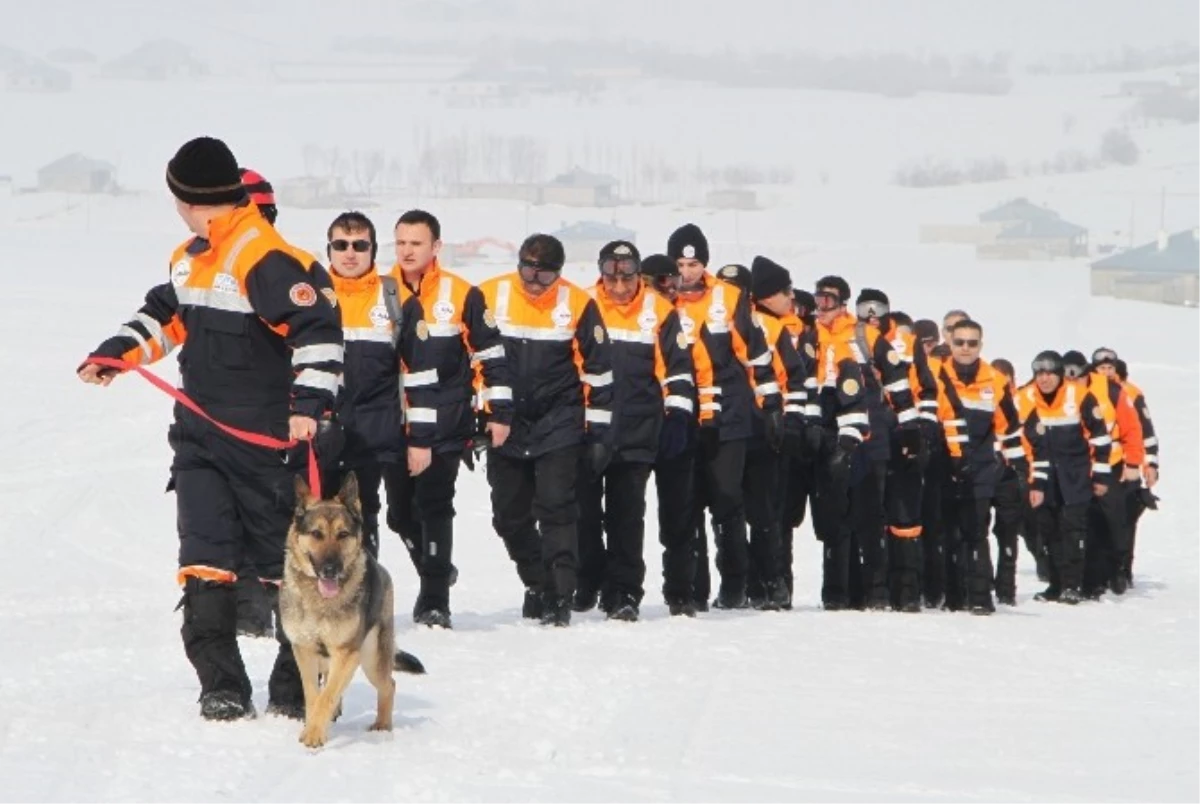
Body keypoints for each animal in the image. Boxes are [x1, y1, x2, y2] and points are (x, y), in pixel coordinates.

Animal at [280, 472, 427, 748]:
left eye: (343, 534)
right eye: (316, 533)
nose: (330, 569)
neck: (320, 599)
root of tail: (381, 569)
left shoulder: (346, 652)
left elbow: (326, 696)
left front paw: (315, 735)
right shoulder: (304, 650)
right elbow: (313, 695)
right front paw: (311, 727)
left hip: (370, 658)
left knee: (388, 684)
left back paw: (382, 725)